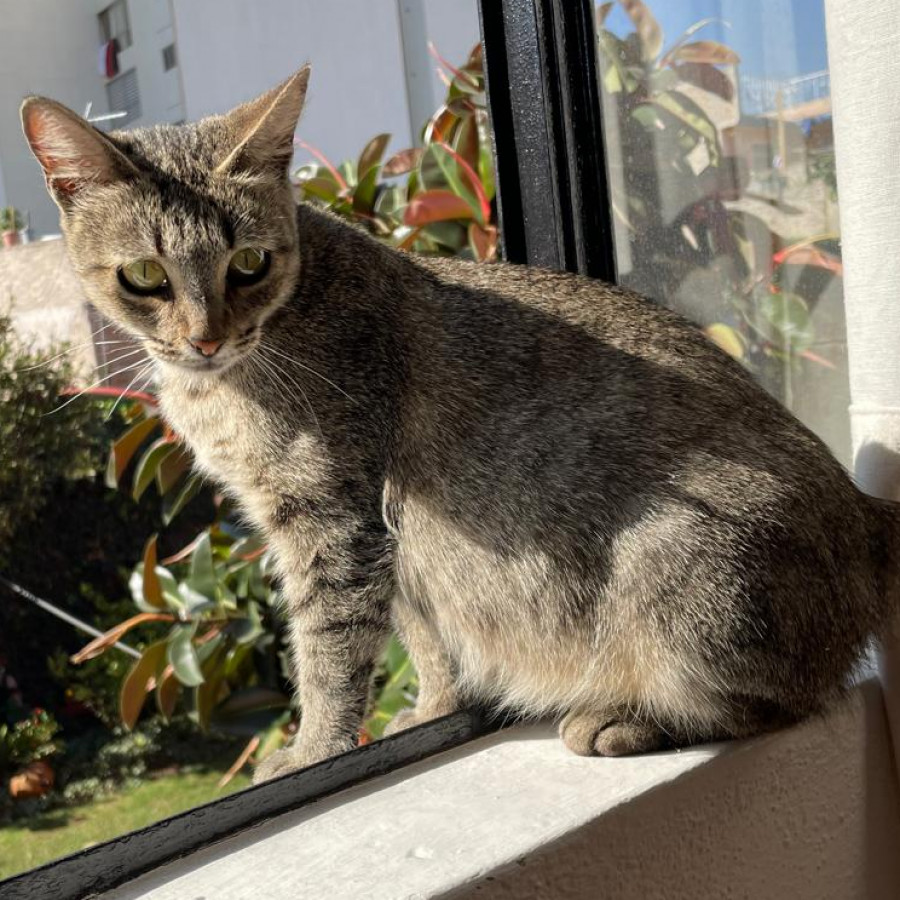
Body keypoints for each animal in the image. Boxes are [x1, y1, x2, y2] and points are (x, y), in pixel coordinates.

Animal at [21, 68, 900, 780]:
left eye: (248, 263)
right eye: (145, 275)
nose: (205, 337)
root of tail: (863, 514)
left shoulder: (334, 520)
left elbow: (329, 652)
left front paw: (313, 751)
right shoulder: (397, 540)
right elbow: (426, 643)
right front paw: (430, 710)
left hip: (683, 564)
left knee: (775, 699)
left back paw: (624, 718)